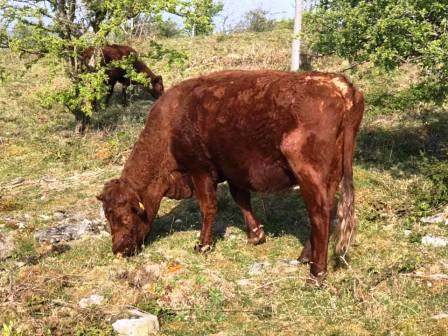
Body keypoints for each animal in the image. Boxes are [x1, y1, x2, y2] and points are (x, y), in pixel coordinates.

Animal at [97, 69, 364, 284]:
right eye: (107, 216)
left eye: (123, 217)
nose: (118, 250)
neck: (170, 125)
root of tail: (340, 86)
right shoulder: (234, 171)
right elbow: (241, 199)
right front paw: (255, 236)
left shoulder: (201, 171)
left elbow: (208, 207)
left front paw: (203, 244)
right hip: (332, 176)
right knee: (325, 211)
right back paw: (305, 257)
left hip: (309, 174)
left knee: (319, 214)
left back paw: (316, 273)